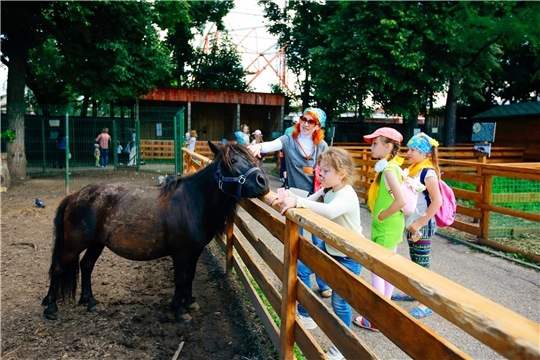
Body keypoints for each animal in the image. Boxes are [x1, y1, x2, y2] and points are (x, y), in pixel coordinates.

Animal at [41, 141, 268, 324]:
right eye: (232, 160)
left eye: (252, 157)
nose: (262, 182)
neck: (193, 202)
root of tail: (74, 196)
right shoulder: (180, 254)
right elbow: (179, 279)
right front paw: (179, 310)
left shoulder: (195, 252)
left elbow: (190, 275)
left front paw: (189, 302)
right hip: (73, 244)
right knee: (59, 268)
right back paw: (51, 307)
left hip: (97, 243)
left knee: (86, 265)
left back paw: (90, 301)